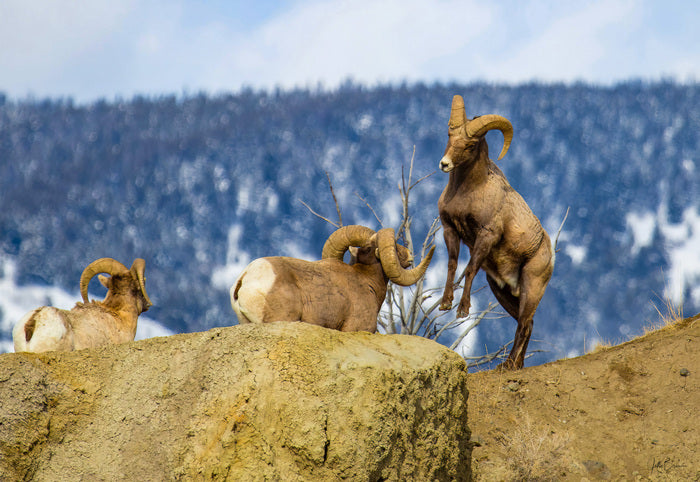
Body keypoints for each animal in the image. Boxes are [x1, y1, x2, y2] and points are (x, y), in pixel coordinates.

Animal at [438, 96, 552, 370]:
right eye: (449, 135)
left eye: (470, 144)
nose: (444, 164)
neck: (468, 192)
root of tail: (550, 253)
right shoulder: (450, 230)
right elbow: (452, 265)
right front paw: (445, 304)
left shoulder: (486, 236)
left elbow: (469, 269)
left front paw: (462, 311)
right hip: (501, 290)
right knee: (527, 323)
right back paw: (516, 365)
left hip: (532, 288)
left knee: (524, 324)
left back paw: (507, 365)